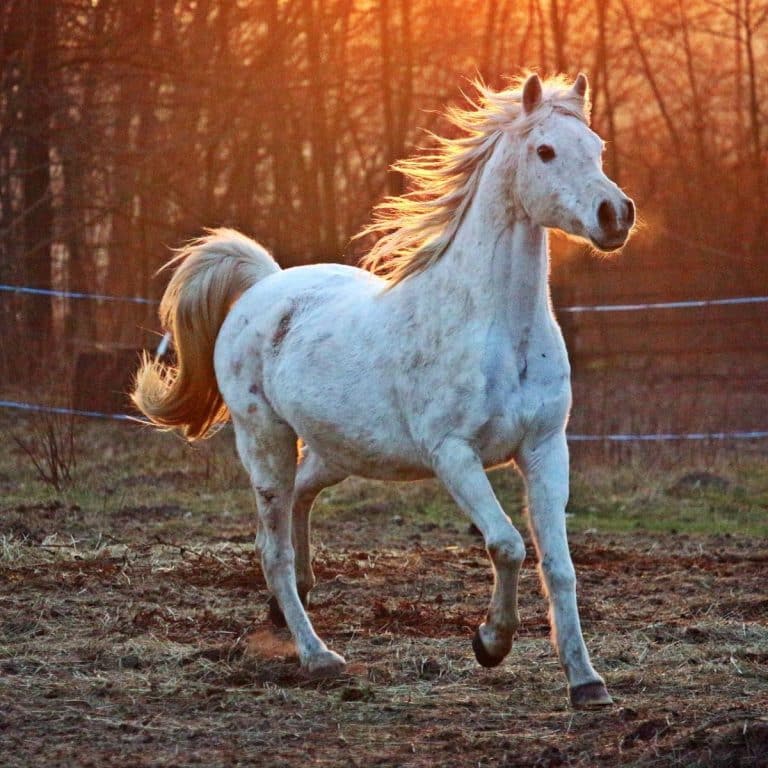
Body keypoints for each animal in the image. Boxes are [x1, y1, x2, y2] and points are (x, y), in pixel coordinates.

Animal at [132, 73, 634, 709]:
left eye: (596, 147)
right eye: (544, 151)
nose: (615, 214)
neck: (498, 328)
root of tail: (265, 285)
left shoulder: (545, 448)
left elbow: (560, 566)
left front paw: (587, 683)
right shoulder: (454, 456)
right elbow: (508, 544)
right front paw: (490, 643)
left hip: (338, 450)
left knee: (299, 501)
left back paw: (288, 606)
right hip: (265, 441)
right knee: (273, 547)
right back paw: (318, 655)